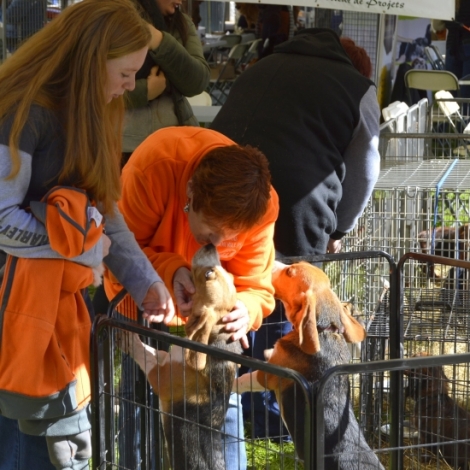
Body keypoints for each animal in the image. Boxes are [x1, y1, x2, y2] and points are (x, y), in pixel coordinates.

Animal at [119, 244, 242, 468]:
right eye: (228, 275)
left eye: (208, 274)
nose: (210, 245)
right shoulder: (166, 359)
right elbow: (155, 351)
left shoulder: (161, 377)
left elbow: (145, 355)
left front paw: (128, 337)